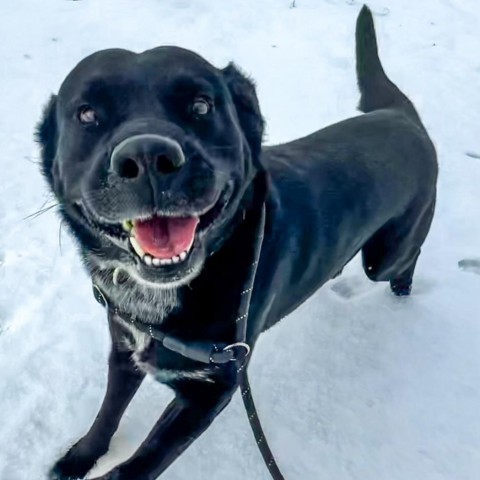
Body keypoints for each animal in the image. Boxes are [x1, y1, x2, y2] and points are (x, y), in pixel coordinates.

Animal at [38, 7, 436, 480]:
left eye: (200, 106)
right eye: (86, 115)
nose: (149, 157)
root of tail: (399, 114)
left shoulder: (211, 392)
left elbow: (143, 462)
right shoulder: (125, 347)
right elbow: (106, 415)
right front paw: (80, 457)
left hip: (384, 256)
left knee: (404, 258)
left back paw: (404, 287)